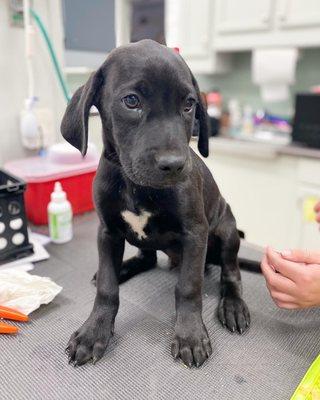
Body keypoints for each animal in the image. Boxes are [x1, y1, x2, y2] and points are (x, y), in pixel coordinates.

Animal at [61, 39, 249, 368]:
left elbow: (189, 287)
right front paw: (94, 331)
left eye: (188, 104)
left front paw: (190, 335)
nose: (174, 165)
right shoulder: (107, 231)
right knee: (146, 258)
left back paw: (233, 306)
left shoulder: (195, 233)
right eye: (131, 101)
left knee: (231, 271)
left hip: (227, 230)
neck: (136, 185)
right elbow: (107, 288)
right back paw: (124, 268)